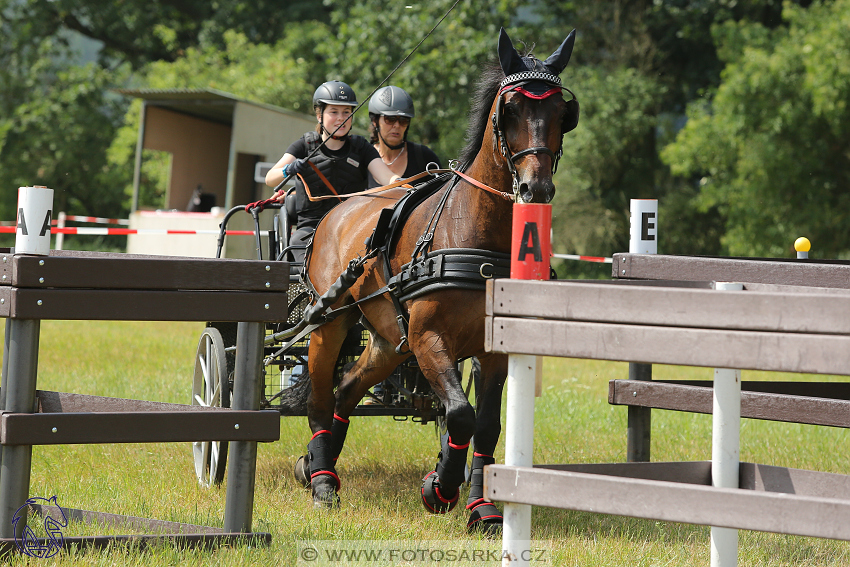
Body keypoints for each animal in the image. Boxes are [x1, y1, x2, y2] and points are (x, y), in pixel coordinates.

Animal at [282, 26, 580, 532]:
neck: (474, 232)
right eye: (510, 110)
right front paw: (439, 487)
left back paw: (317, 465)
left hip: (388, 342)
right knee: (320, 398)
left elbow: (487, 424)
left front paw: (482, 507)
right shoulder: (428, 339)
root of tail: (337, 210)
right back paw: (321, 481)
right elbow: (459, 414)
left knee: (347, 389)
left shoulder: (489, 351)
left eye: (563, 111)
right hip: (332, 325)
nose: (534, 188)